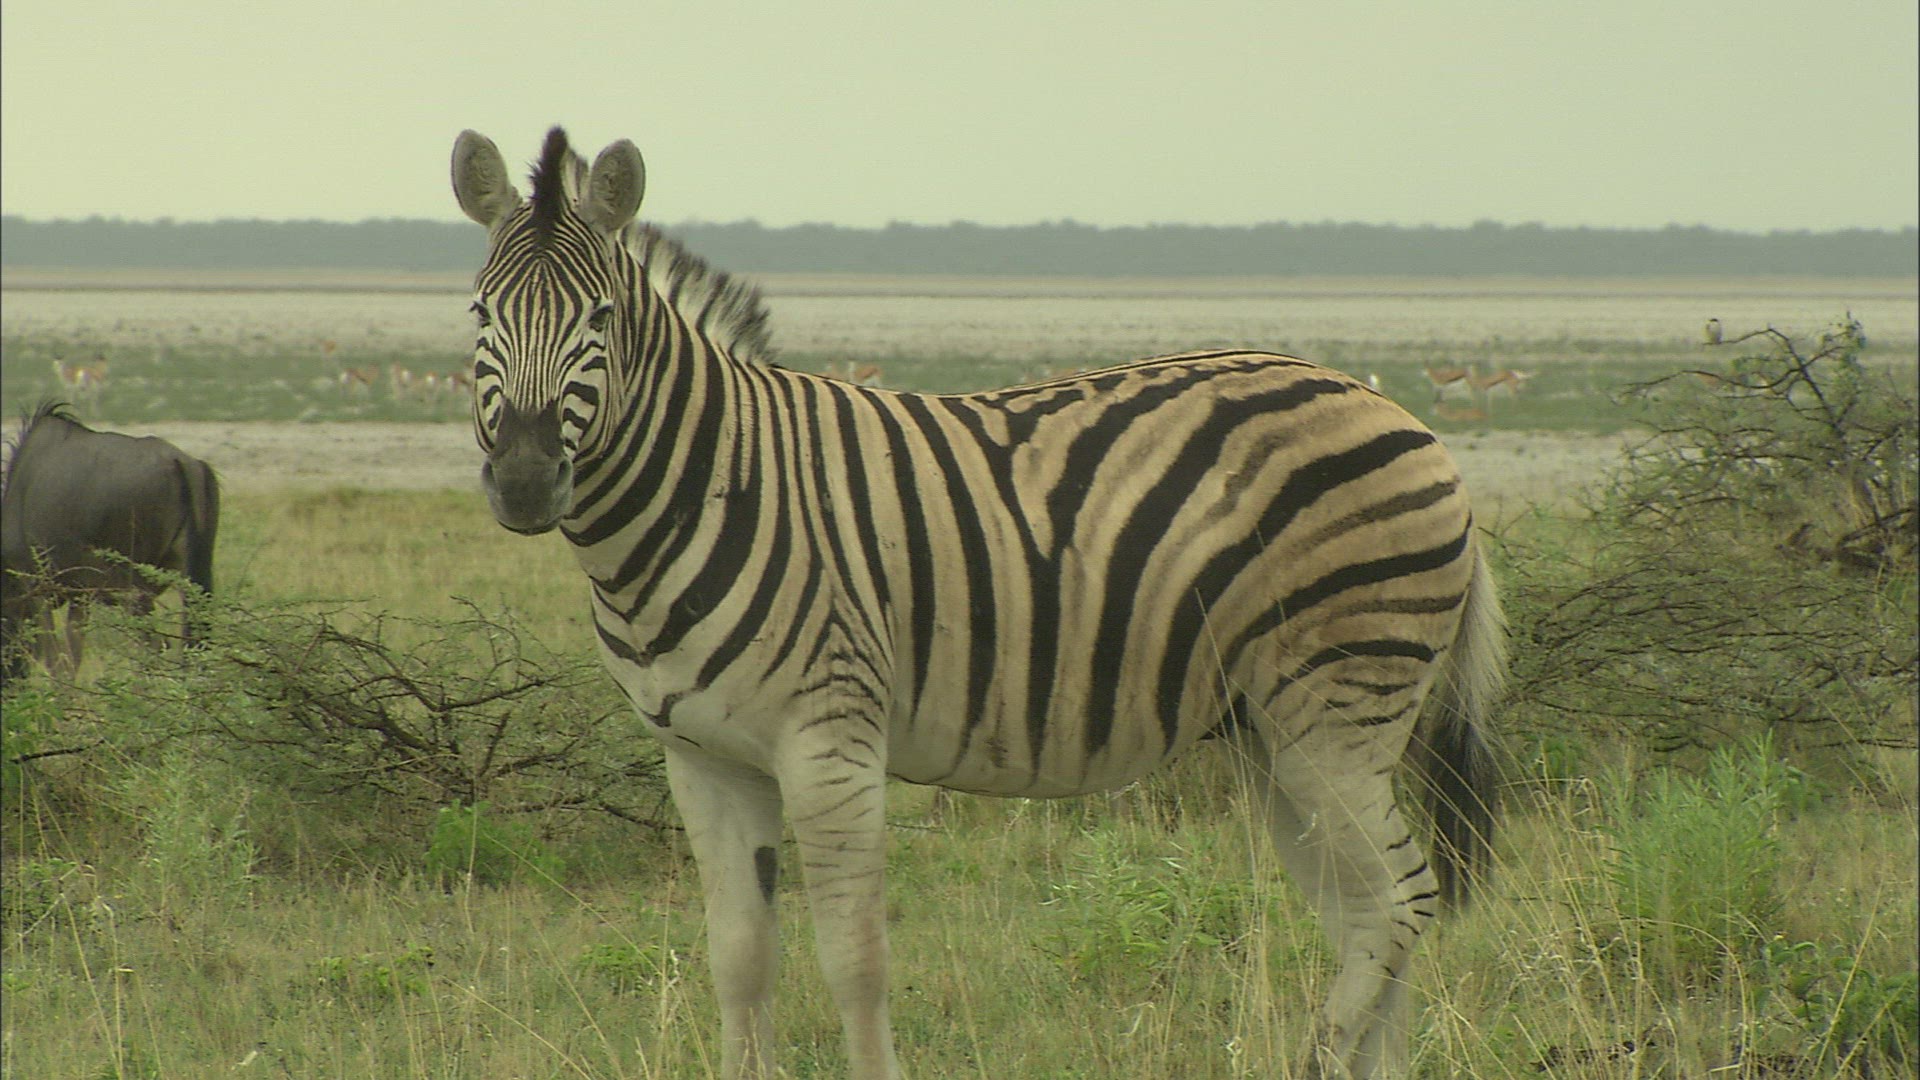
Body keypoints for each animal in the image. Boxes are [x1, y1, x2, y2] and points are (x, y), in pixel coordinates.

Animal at [451, 127, 1506, 1080]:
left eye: (598, 319)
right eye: (478, 313)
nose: (527, 481)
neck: (720, 481)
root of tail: (1406, 418)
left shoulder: (830, 743)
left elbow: (855, 960)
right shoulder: (705, 759)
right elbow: (739, 959)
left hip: (1337, 708)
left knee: (1400, 897)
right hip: (1275, 733)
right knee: (1369, 909)